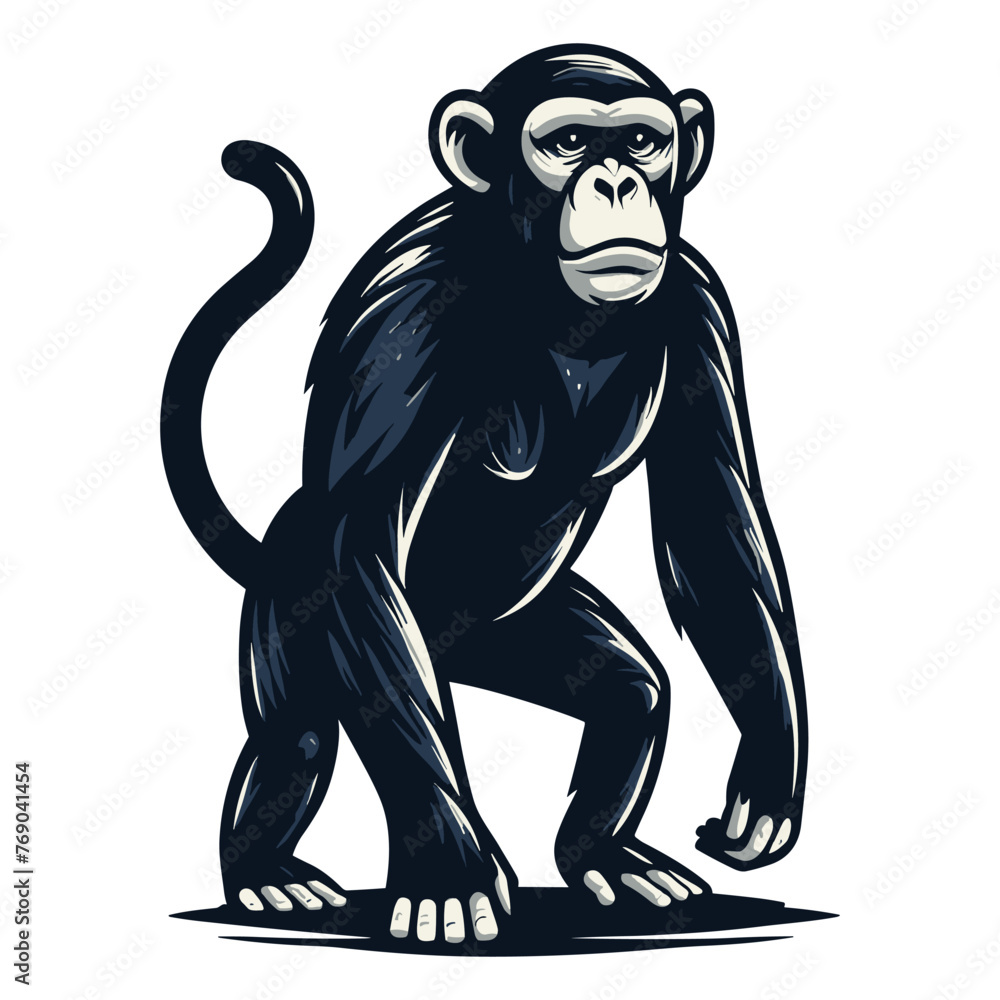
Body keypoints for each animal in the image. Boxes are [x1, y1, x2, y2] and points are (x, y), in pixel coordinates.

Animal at [162, 44, 808, 947]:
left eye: (643, 141)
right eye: (568, 142)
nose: (617, 182)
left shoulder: (698, 302)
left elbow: (712, 520)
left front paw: (769, 771)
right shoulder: (413, 320)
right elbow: (362, 543)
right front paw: (449, 872)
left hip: (511, 634)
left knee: (631, 692)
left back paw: (604, 856)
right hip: (294, 604)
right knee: (301, 733)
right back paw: (263, 872)